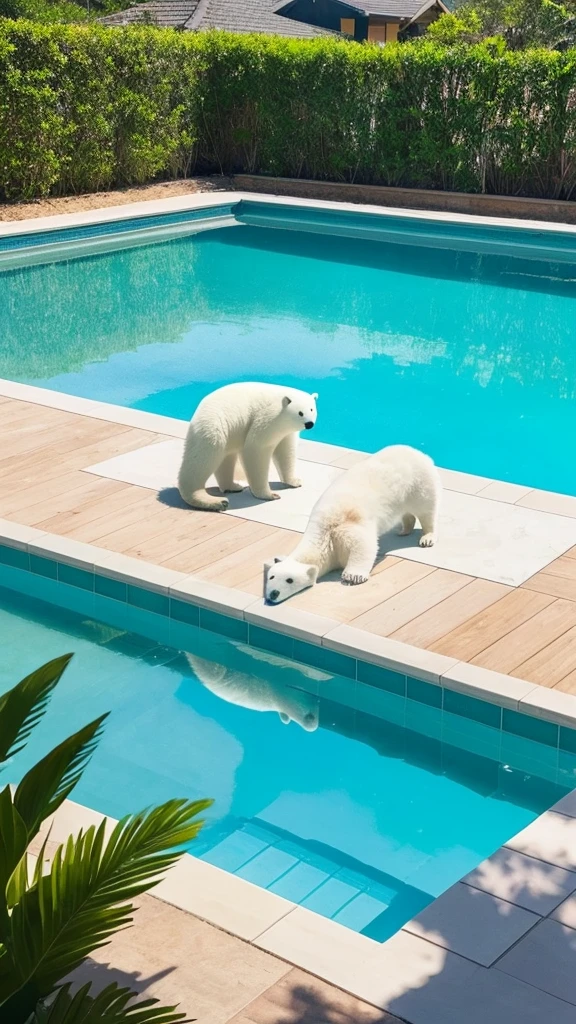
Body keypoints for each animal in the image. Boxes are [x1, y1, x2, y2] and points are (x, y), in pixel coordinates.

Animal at [176, 380, 315, 512]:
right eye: (300, 413)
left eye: (312, 409)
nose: (309, 424)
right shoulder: (269, 418)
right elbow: (256, 448)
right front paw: (270, 494)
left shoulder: (286, 430)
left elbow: (286, 451)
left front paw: (295, 481)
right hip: (214, 426)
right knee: (203, 458)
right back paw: (215, 501)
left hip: (230, 432)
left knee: (226, 458)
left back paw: (233, 486)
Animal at [264, 444, 438, 602]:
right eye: (271, 577)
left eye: (289, 580)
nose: (273, 594)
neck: (322, 535)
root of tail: (417, 452)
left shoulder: (342, 527)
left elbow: (362, 543)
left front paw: (353, 576)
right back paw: (404, 530)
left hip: (417, 482)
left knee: (425, 509)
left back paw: (427, 537)